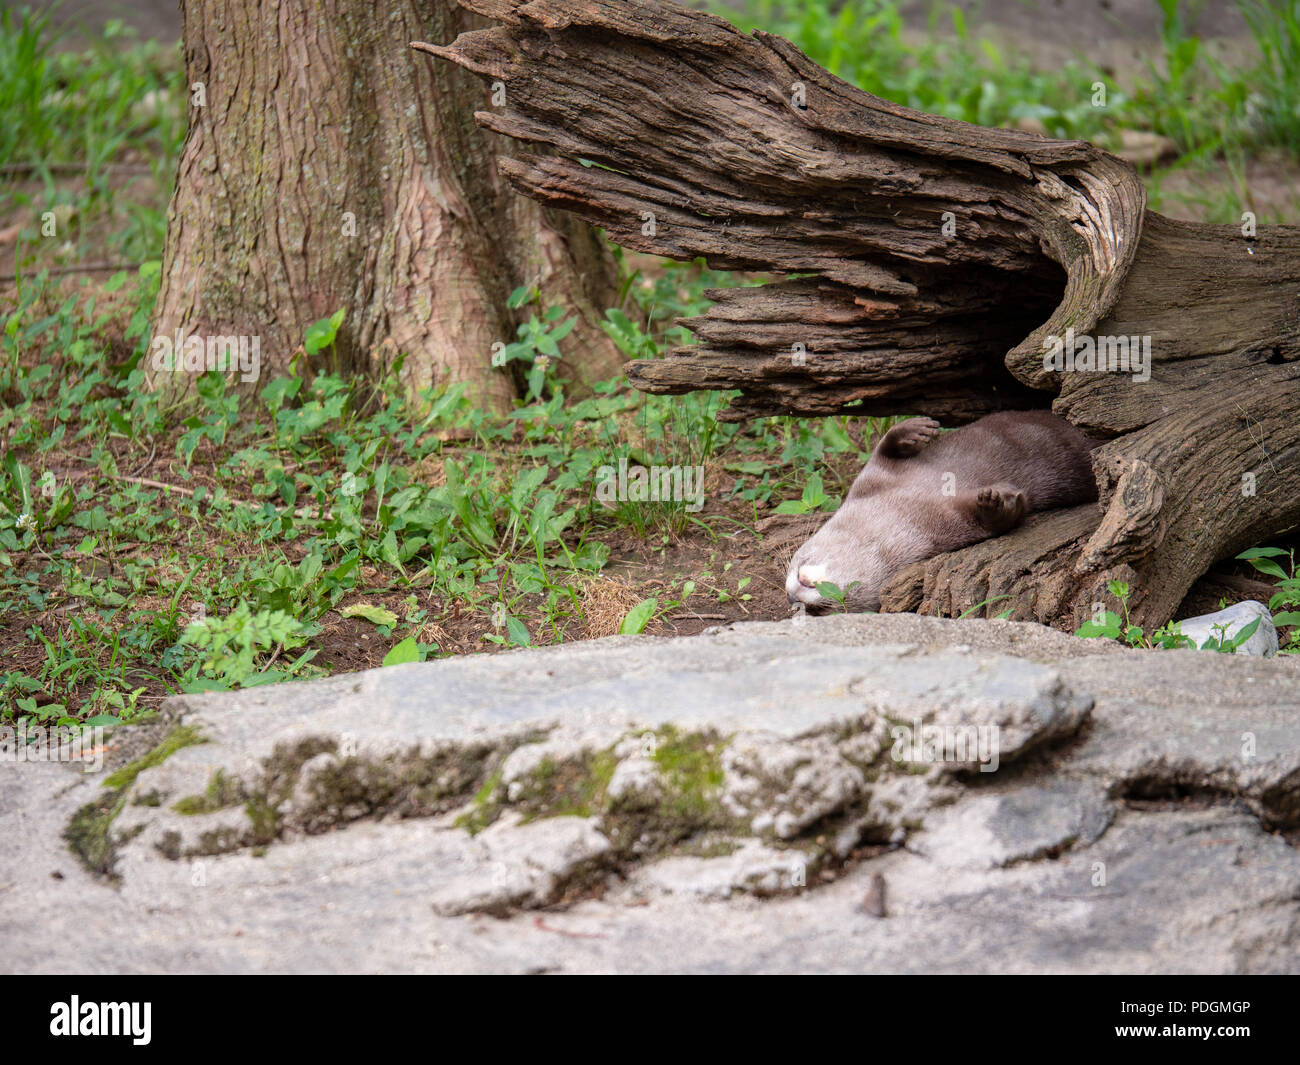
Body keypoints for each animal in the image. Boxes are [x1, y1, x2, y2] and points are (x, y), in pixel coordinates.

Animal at [786, 410, 1098, 614]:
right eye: (822, 608)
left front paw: (915, 429)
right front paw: (998, 506)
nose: (792, 596)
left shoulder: (871, 481)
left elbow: (883, 448)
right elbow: (993, 524)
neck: (898, 513)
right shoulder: (945, 531)